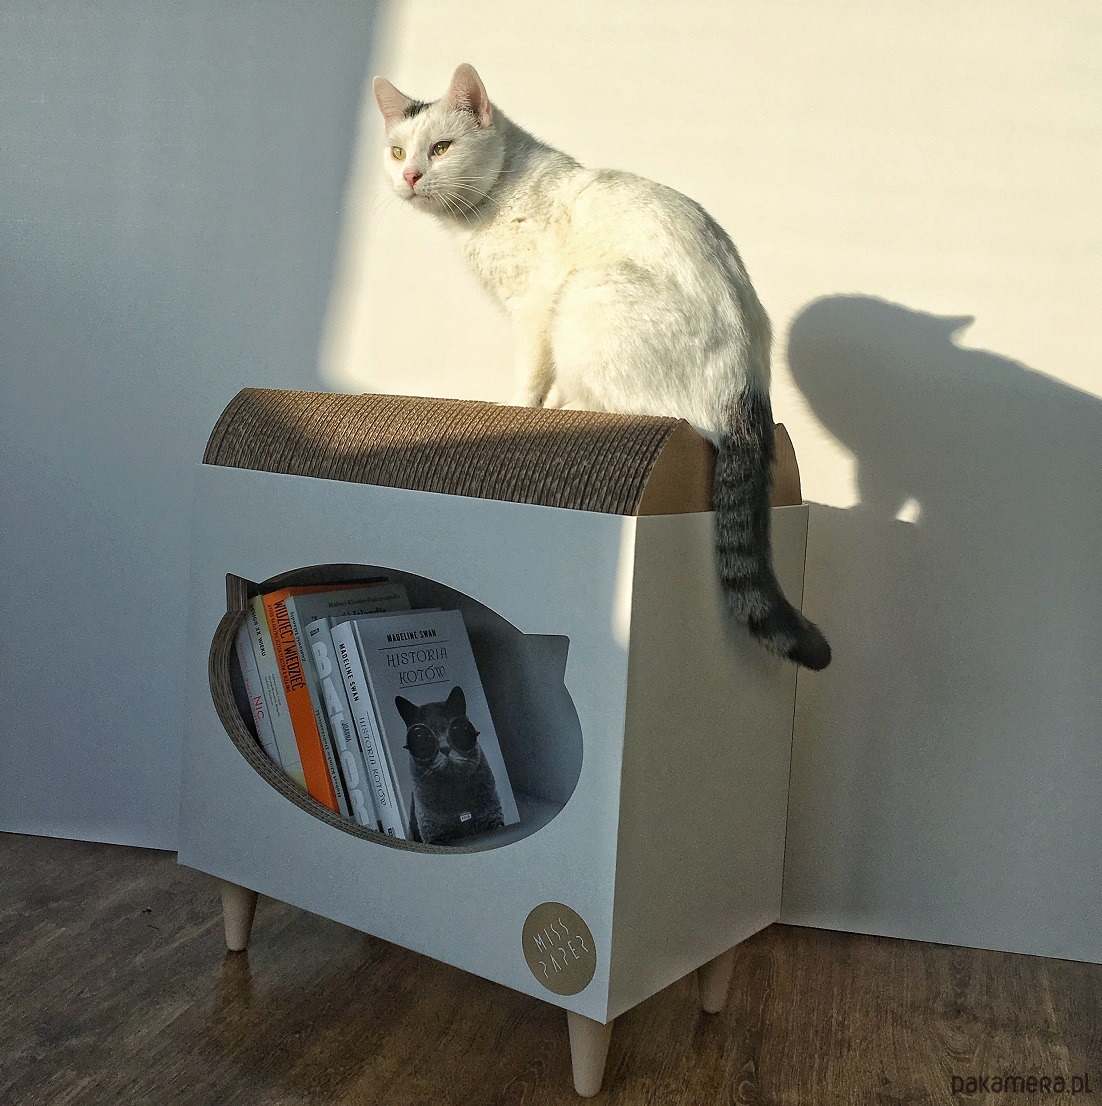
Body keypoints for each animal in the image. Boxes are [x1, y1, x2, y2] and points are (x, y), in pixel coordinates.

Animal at [373, 64, 830, 670]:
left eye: (442, 148)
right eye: (398, 150)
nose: (410, 175)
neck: (492, 199)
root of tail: (749, 388)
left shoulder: (535, 307)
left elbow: (529, 378)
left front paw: (514, 412)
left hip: (586, 294)